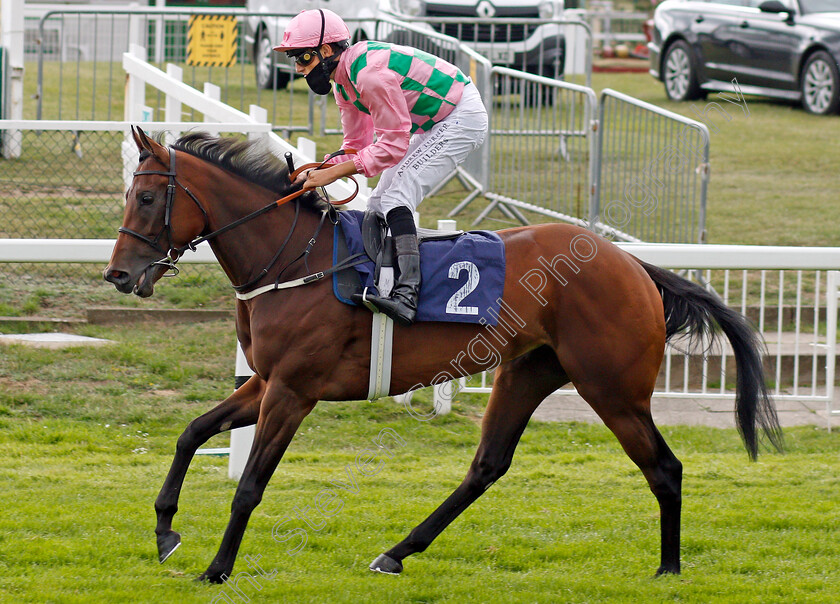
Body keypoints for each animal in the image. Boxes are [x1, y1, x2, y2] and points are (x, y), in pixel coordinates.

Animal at [103, 129, 780, 584]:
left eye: (145, 199)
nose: (118, 275)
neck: (293, 261)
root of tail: (634, 265)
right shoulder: (265, 382)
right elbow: (192, 432)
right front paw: (165, 530)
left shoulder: (293, 391)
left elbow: (248, 486)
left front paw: (217, 567)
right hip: (528, 371)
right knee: (487, 465)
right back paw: (396, 552)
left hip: (612, 387)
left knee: (664, 468)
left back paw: (669, 570)